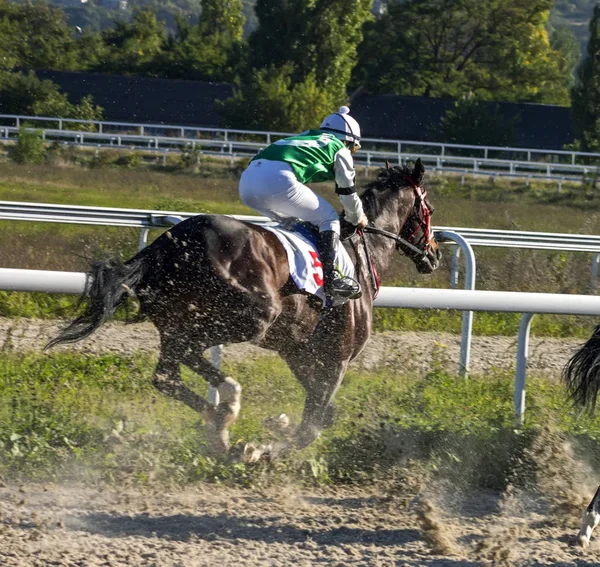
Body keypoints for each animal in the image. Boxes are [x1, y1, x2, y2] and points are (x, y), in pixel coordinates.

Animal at [47, 159, 440, 462]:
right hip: (253, 316)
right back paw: (227, 409)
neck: (362, 253)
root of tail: (168, 243)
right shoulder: (336, 357)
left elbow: (323, 414)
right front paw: (263, 450)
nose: (434, 255)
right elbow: (313, 425)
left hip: (178, 319)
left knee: (167, 374)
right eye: (429, 210)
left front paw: (271, 430)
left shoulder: (299, 353)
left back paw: (219, 423)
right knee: (188, 353)